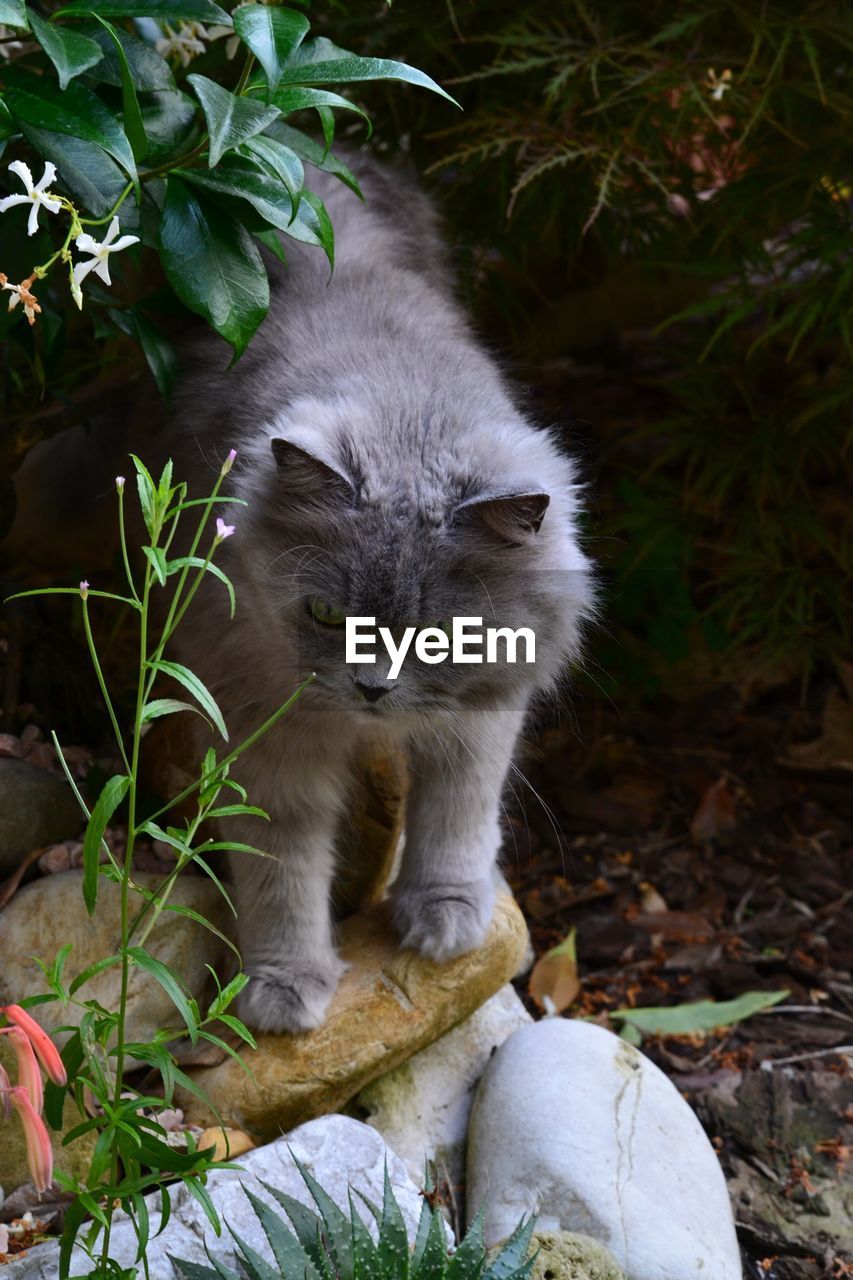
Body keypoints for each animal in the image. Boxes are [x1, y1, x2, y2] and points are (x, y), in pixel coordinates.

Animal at [166, 154, 591, 1029]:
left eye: (439, 633)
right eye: (327, 614)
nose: (370, 688)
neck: (404, 414)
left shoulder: (480, 717)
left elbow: (457, 813)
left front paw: (445, 916)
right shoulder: (266, 735)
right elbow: (281, 868)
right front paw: (285, 987)